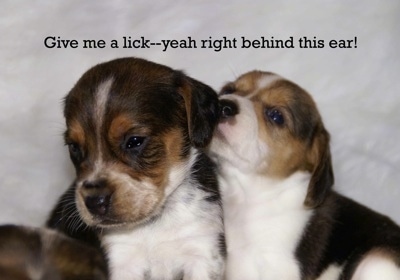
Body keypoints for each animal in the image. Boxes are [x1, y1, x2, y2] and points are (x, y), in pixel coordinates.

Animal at [47, 57, 225, 280]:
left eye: (134, 141)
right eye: (74, 147)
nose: (95, 202)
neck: (154, 222)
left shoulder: (201, 249)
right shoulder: (121, 260)